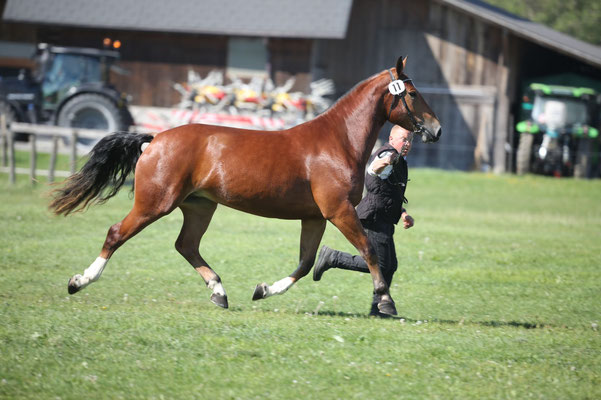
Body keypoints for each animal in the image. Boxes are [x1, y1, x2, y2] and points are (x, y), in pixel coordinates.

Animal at [50, 55, 440, 316]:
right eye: (413, 93)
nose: (436, 129)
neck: (336, 141)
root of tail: (155, 139)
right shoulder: (339, 211)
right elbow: (369, 250)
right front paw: (386, 301)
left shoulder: (315, 216)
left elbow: (305, 263)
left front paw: (263, 290)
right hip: (154, 203)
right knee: (117, 233)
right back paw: (79, 281)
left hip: (199, 206)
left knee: (186, 245)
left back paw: (219, 292)